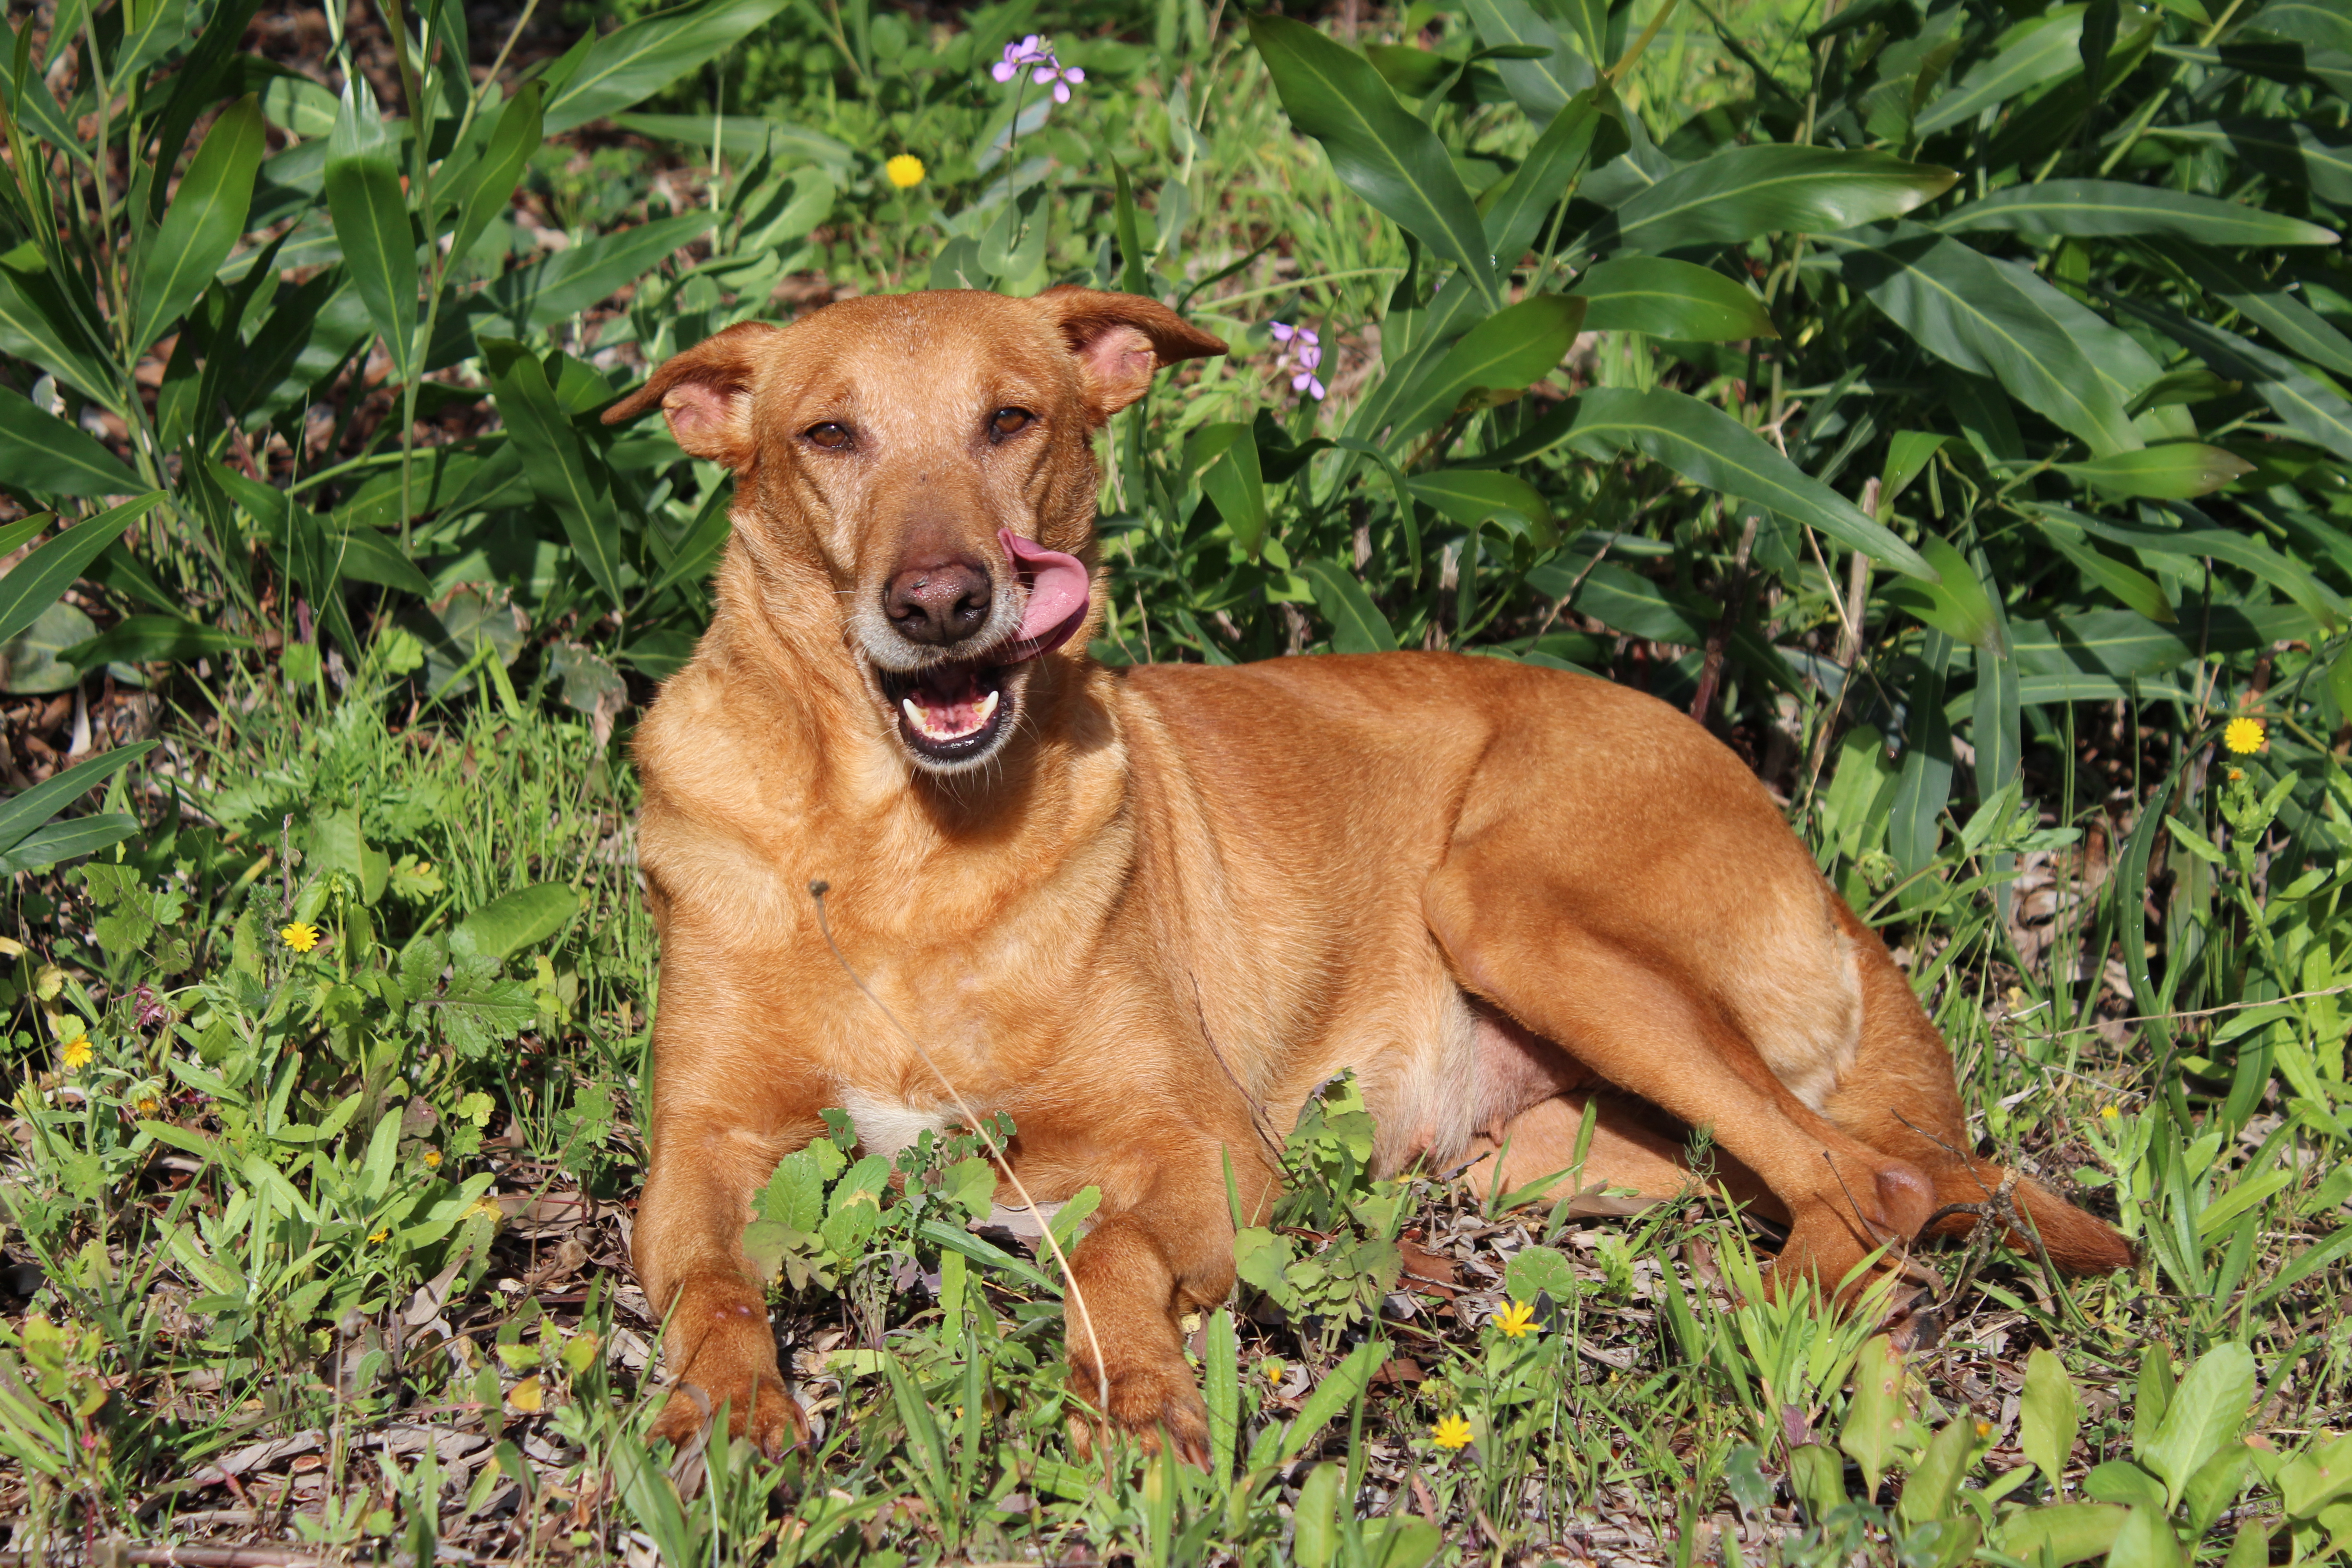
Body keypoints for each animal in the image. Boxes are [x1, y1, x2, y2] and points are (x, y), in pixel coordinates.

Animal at [602, 285, 2136, 1457]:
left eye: (1011, 419)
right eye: (830, 435)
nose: (941, 601)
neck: (897, 844)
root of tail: (1798, 846)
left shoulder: (1208, 1145)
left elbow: (1110, 1252)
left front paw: (1137, 1393)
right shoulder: (700, 1150)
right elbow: (709, 1283)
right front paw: (725, 1412)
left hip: (1508, 911)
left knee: (1872, 1184)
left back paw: (1765, 1313)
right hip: (1546, 1147)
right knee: (1847, 1173)